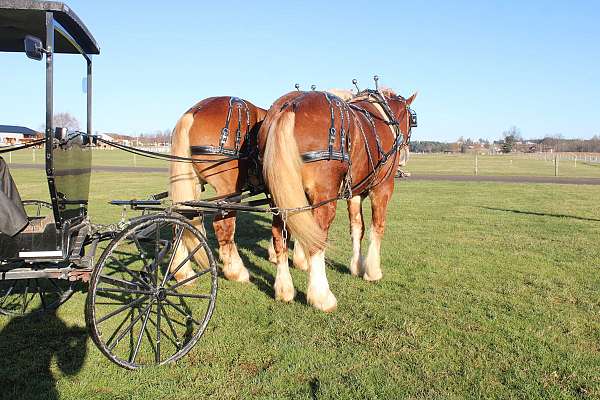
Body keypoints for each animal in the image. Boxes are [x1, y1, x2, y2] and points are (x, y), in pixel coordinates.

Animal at [170, 96, 266, 284]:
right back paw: (236, 271)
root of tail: (195, 111)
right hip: (229, 191)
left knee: (181, 221)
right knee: (223, 225)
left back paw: (184, 273)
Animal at [258, 87, 418, 312]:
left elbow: (357, 228)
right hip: (323, 197)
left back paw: (284, 289)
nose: (404, 157)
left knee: (279, 235)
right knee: (316, 241)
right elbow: (377, 227)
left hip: (278, 196)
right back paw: (321, 296)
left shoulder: (355, 193)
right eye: (413, 120)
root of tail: (291, 105)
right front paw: (372, 271)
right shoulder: (382, 188)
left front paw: (357, 266)